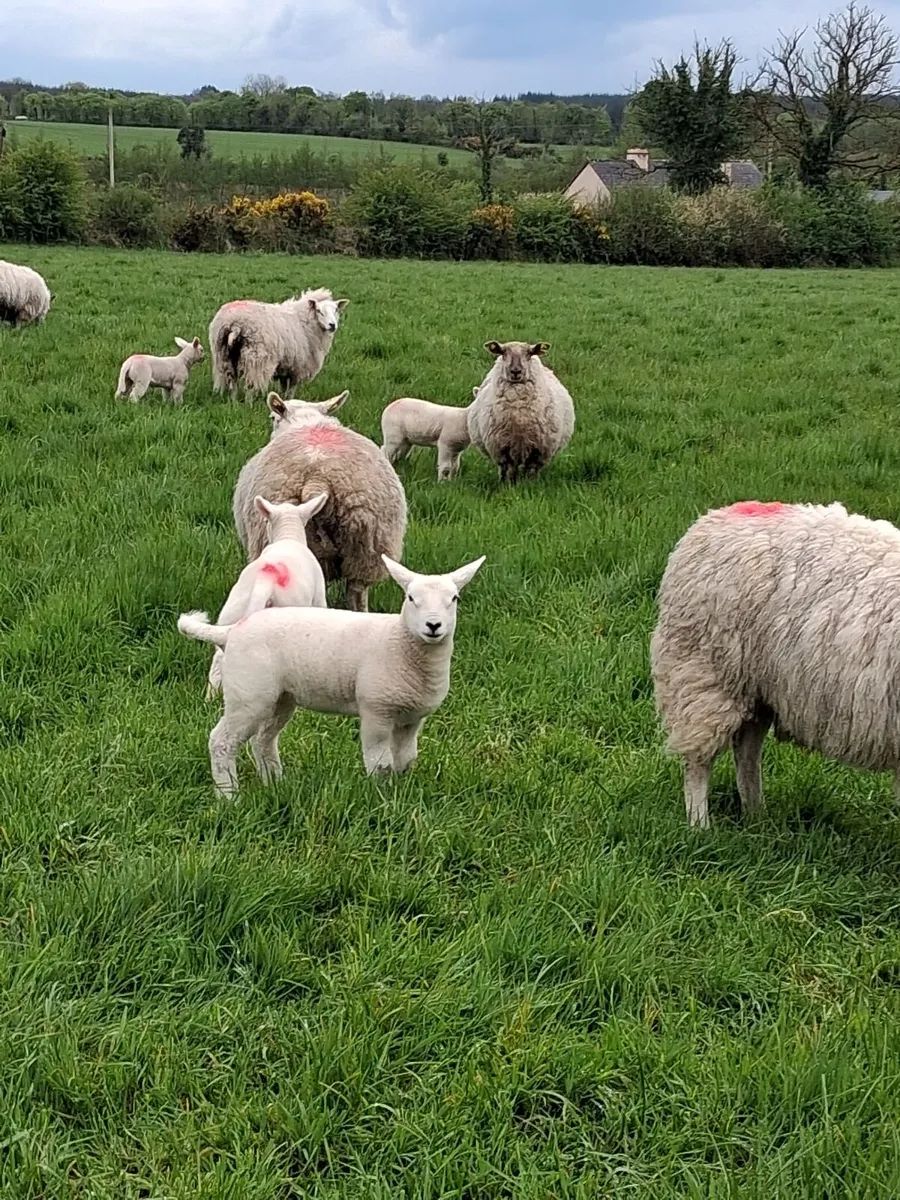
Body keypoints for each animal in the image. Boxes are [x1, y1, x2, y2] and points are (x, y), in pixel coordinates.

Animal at [178, 553, 485, 796]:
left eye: (454, 598)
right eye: (411, 598)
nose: (433, 626)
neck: (399, 643)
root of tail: (230, 632)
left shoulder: (412, 717)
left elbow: (406, 760)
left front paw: (401, 792)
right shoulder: (376, 709)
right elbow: (380, 763)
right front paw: (380, 797)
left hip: (280, 697)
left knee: (263, 740)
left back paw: (276, 784)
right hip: (248, 694)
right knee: (222, 741)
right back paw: (229, 796)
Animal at [204, 492, 329, 701]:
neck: (288, 535)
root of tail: (264, 582)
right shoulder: (319, 598)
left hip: (231, 613)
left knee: (218, 659)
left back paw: (210, 698)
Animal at [209, 287, 348, 400]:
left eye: (336, 310)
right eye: (319, 310)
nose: (332, 325)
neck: (306, 320)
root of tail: (234, 323)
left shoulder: (286, 367)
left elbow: (283, 388)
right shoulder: (297, 367)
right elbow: (291, 390)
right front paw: (289, 401)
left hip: (224, 355)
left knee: (232, 381)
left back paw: (233, 403)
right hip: (256, 357)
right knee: (250, 386)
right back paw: (249, 405)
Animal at [467, 341, 575, 483]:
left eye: (529, 354)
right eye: (503, 353)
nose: (515, 371)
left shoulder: (538, 451)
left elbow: (531, 471)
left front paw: (530, 485)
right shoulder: (504, 448)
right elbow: (510, 471)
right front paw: (509, 485)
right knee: (504, 469)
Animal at [650, 499, 900, 828]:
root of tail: (721, 513)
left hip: (757, 688)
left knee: (746, 750)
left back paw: (756, 817)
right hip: (705, 674)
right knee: (698, 761)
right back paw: (700, 825)